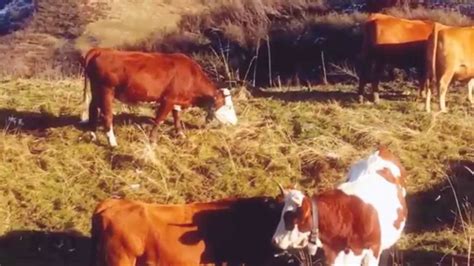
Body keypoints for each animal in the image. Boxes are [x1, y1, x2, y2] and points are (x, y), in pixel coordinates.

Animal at [81, 48, 239, 148]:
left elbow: (177, 117)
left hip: (97, 90)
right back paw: (112, 143)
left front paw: (180, 134)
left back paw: (93, 134)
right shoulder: (168, 99)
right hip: (107, 90)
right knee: (107, 115)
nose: (236, 122)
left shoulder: (176, 100)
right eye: (229, 106)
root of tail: (101, 50)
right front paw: (152, 141)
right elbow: (159, 120)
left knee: (93, 109)